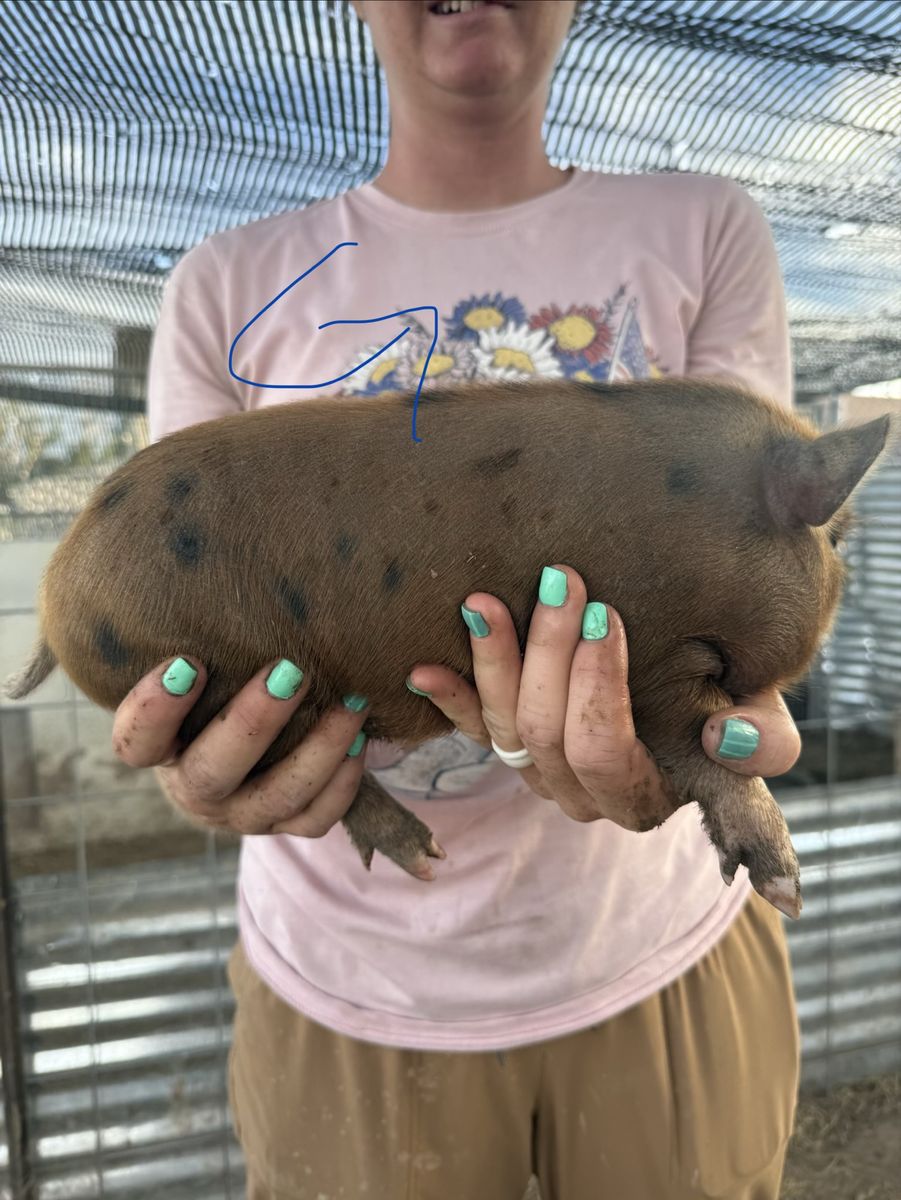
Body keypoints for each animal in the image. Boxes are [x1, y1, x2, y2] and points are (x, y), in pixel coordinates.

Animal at [4, 377, 892, 919]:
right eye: (837, 540)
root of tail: (55, 599)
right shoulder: (647, 652)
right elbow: (703, 752)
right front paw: (785, 887)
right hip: (217, 681)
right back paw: (428, 858)